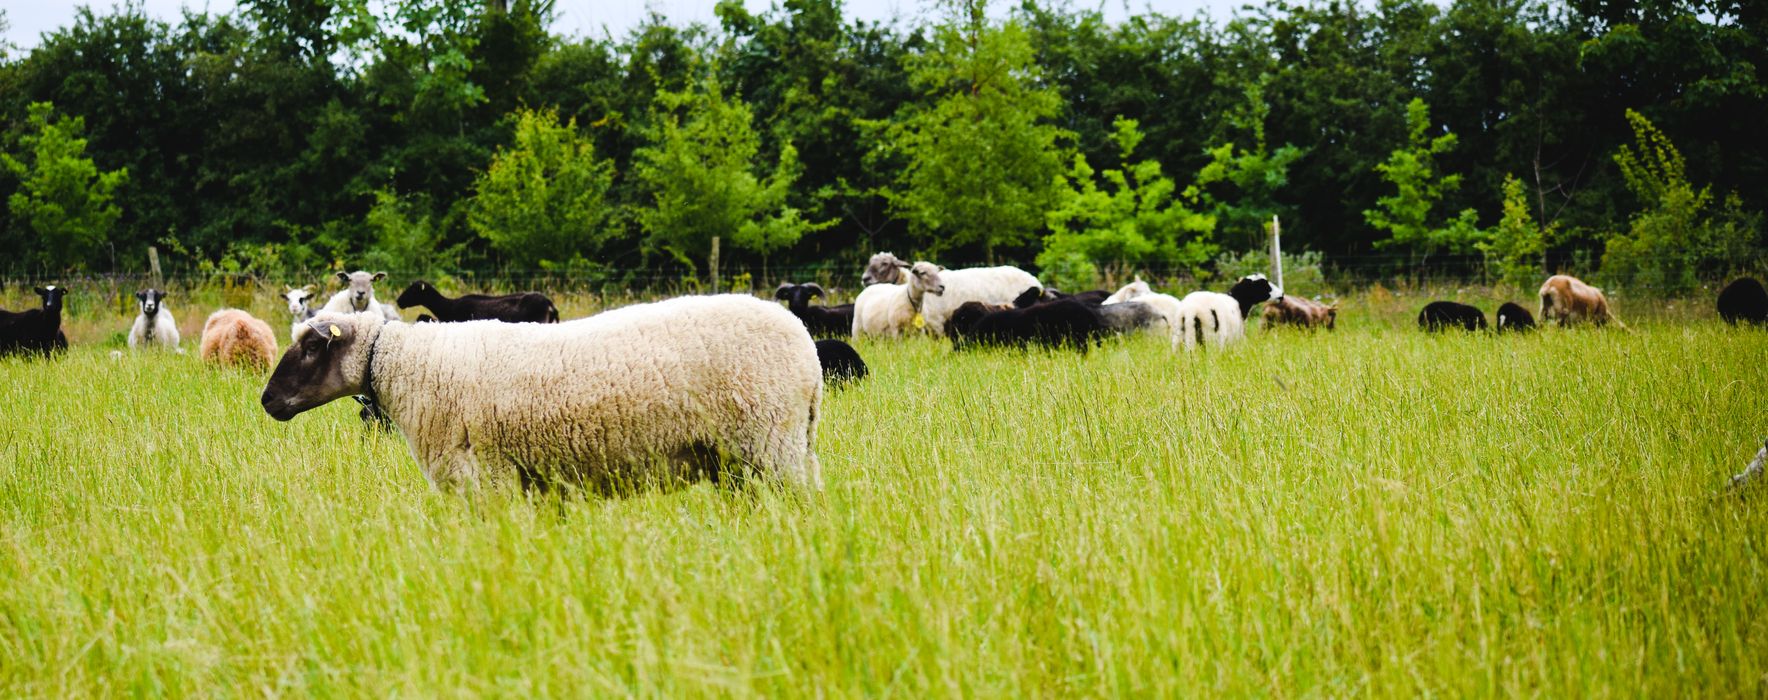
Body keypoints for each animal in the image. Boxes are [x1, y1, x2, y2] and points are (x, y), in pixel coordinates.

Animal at [260, 295, 824, 494]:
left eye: (310, 347)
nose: (266, 401)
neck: (403, 364)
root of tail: (808, 351)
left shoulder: (486, 479)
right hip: (746, 459)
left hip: (772, 444)